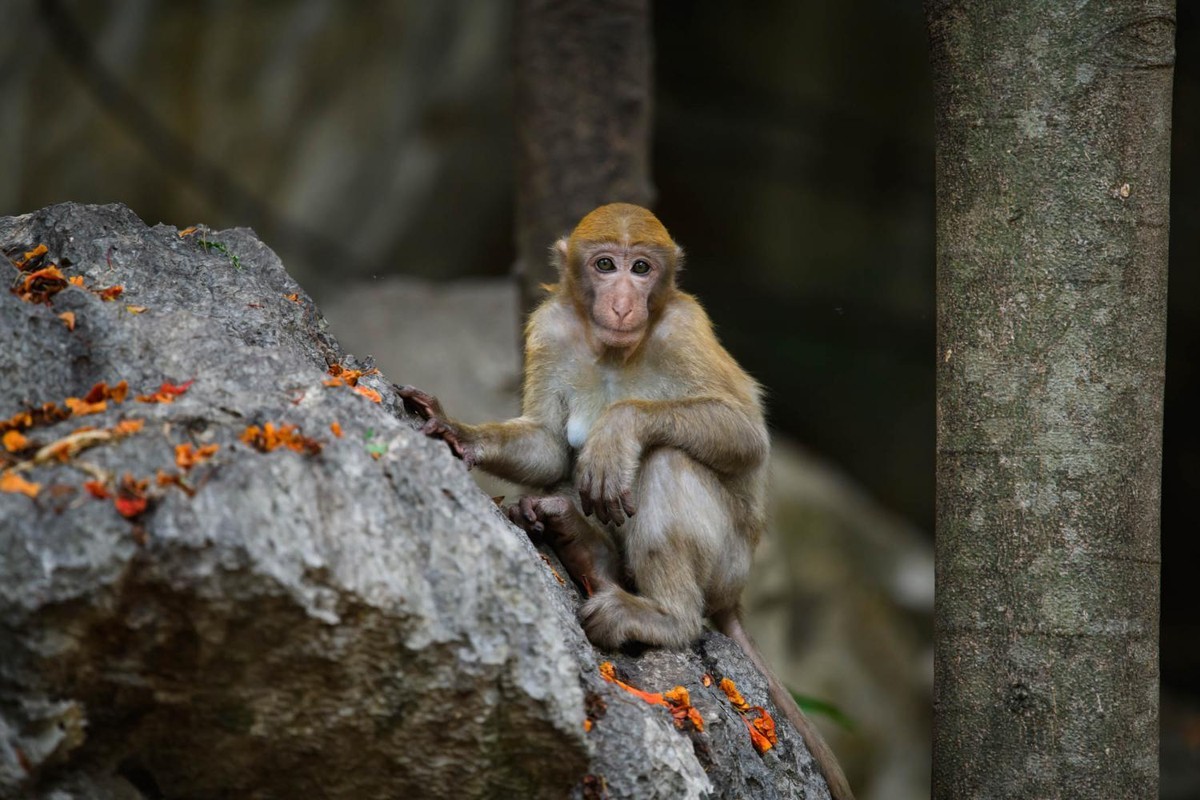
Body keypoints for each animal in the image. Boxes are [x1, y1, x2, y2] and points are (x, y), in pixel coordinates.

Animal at [403, 203, 854, 796]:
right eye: (605, 265)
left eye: (641, 268)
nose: (622, 301)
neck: (615, 350)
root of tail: (735, 595)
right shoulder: (549, 329)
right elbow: (549, 446)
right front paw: (460, 432)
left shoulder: (685, 329)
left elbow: (745, 434)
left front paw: (619, 428)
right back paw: (581, 544)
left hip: (729, 561)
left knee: (664, 460)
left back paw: (665, 615)